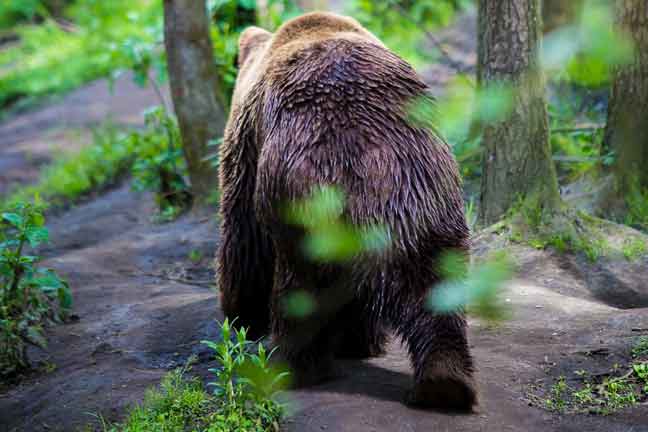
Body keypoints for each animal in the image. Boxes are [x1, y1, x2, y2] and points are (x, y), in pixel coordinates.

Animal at [218, 11, 476, 410]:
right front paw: (361, 340)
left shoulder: (248, 146)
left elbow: (243, 236)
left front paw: (241, 314)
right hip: (424, 190)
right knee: (435, 282)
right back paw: (443, 384)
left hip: (302, 192)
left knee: (300, 286)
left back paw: (292, 366)